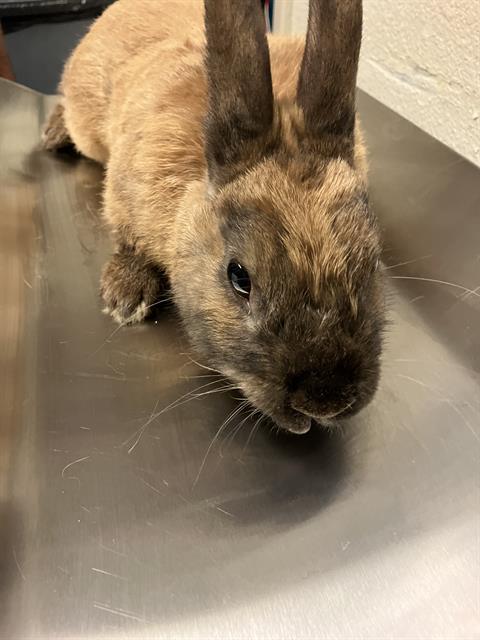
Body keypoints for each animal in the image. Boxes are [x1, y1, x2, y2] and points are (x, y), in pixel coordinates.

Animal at [43, 0, 385, 435]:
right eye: (239, 277)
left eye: (372, 264)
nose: (325, 401)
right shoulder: (123, 192)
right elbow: (128, 238)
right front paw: (126, 298)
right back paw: (53, 134)